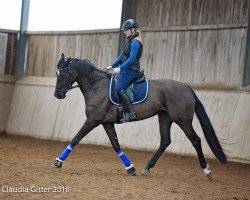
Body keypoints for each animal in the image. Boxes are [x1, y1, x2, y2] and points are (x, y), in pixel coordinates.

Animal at [53, 52, 227, 177]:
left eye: (63, 74)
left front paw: (58, 162)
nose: (57, 95)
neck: (96, 86)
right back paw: (147, 168)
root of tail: (186, 86)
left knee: (196, 140)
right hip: (165, 118)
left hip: (183, 120)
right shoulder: (106, 123)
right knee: (165, 141)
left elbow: (76, 138)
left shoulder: (92, 120)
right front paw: (130, 168)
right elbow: (116, 145)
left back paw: (206, 170)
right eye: (57, 74)